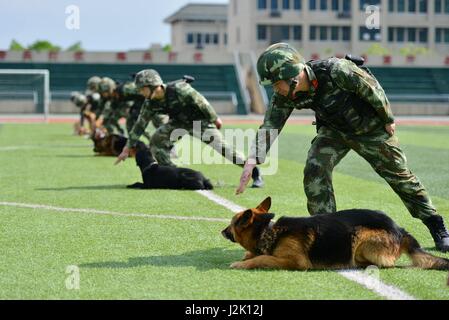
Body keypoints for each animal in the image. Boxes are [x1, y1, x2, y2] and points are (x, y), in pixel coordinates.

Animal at [221, 198, 448, 270]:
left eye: (231, 224)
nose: (221, 231)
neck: (268, 231)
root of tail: (401, 230)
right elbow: (254, 254)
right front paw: (247, 256)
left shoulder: (296, 262)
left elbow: (263, 258)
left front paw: (242, 263)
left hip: (360, 235)